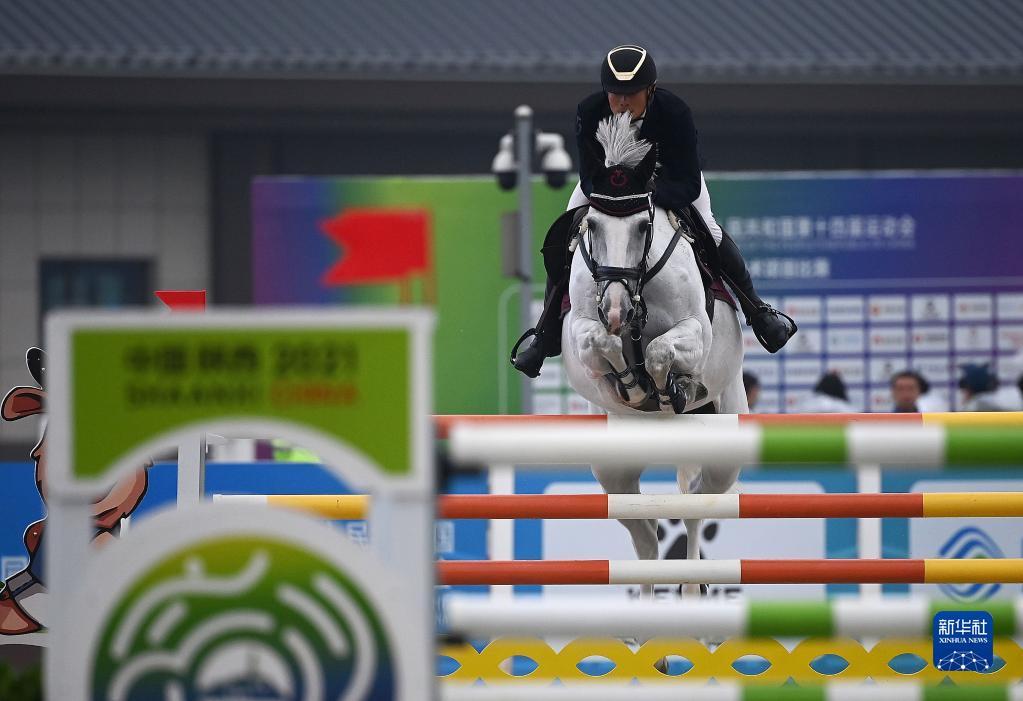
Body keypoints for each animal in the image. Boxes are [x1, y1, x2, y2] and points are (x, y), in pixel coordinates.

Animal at [564, 113, 748, 597]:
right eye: (592, 226)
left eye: (643, 228)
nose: (615, 309)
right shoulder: (582, 330)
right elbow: (603, 344)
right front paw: (630, 384)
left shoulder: (695, 332)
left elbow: (662, 350)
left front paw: (671, 389)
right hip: (613, 468)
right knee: (644, 534)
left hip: (725, 443)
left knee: (697, 507)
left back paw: (692, 591)